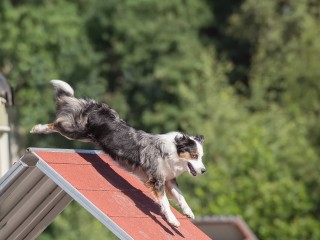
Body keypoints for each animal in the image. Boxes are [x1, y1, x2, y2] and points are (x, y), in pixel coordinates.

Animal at [31, 80, 206, 227]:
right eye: (194, 155)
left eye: (201, 157)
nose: (204, 170)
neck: (171, 152)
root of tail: (97, 107)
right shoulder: (157, 181)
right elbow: (165, 202)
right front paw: (173, 220)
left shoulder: (169, 180)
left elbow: (181, 197)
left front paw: (188, 212)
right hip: (76, 131)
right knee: (57, 123)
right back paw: (37, 128)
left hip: (85, 136)